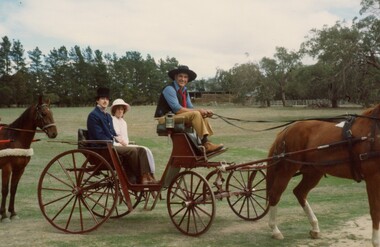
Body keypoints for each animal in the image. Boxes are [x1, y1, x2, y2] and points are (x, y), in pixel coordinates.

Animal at [268, 104, 380, 247]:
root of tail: (286, 130)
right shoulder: (373, 178)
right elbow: (375, 210)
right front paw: (376, 241)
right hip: (286, 170)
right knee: (275, 194)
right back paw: (275, 230)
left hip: (313, 172)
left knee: (300, 192)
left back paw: (315, 227)